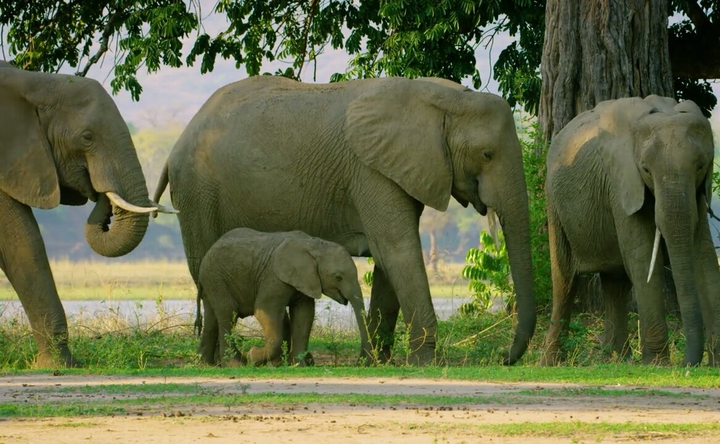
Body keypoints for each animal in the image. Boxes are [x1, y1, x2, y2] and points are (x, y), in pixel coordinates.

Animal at [0, 61, 175, 367]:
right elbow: (20, 239)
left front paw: (58, 365)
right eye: (87, 137)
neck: (35, 82)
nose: (99, 190)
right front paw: (57, 366)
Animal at [197, 228, 369, 366]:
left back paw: (205, 364)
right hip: (216, 278)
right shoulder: (273, 278)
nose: (360, 362)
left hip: (212, 280)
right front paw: (253, 357)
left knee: (212, 319)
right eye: (338, 277)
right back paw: (236, 364)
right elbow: (265, 311)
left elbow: (304, 315)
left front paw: (300, 366)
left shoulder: (305, 280)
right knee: (228, 314)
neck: (315, 246)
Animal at [542, 95, 720, 367]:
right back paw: (552, 363)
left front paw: (715, 362)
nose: (688, 364)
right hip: (554, 203)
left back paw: (613, 359)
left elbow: (705, 258)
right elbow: (642, 258)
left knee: (615, 282)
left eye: (701, 166)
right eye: (646, 170)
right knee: (564, 280)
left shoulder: (698, 191)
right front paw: (657, 364)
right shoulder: (621, 184)